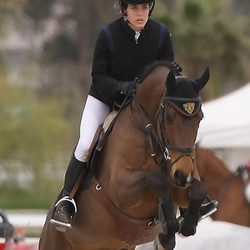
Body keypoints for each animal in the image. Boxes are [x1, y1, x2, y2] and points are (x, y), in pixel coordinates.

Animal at [39, 62, 210, 250]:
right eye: (169, 117)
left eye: (200, 118)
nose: (183, 175)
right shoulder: (122, 189)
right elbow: (157, 178)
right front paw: (168, 230)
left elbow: (199, 189)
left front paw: (187, 225)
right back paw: (63, 211)